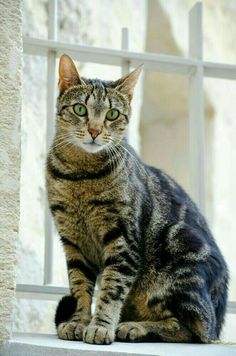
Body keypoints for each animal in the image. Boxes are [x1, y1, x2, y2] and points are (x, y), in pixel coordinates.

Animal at [46, 53, 229, 344]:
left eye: (112, 114)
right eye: (80, 110)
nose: (94, 131)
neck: (81, 176)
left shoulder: (123, 239)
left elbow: (111, 290)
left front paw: (101, 326)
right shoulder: (73, 242)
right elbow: (79, 288)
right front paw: (78, 322)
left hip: (180, 252)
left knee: (197, 329)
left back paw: (134, 327)